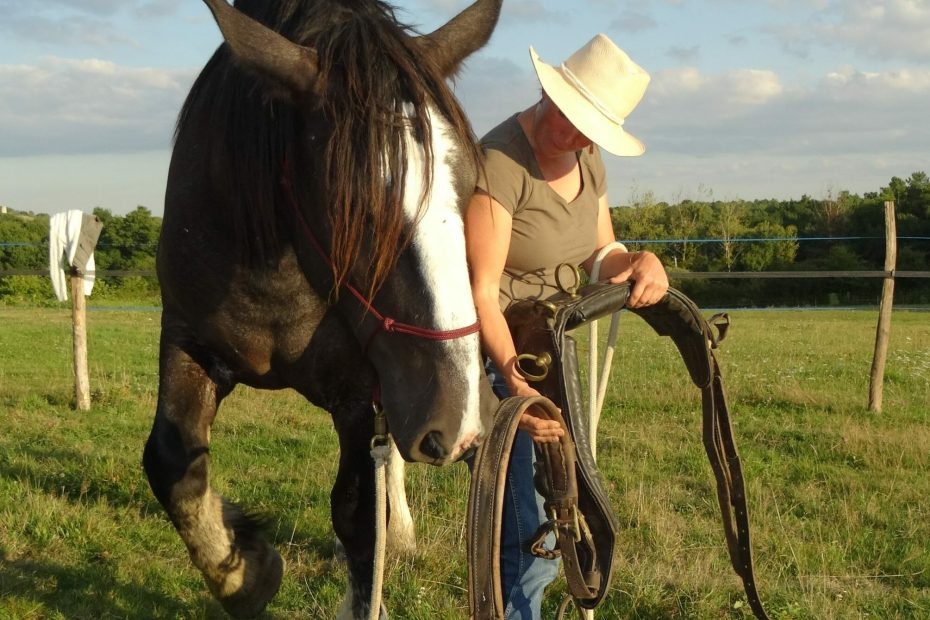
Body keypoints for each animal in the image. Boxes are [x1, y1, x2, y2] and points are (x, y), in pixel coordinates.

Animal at [142, 1, 503, 617]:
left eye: (471, 187)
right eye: (351, 205)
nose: (457, 422)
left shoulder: (358, 390)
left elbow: (357, 515)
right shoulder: (188, 340)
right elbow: (172, 463)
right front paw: (247, 572)